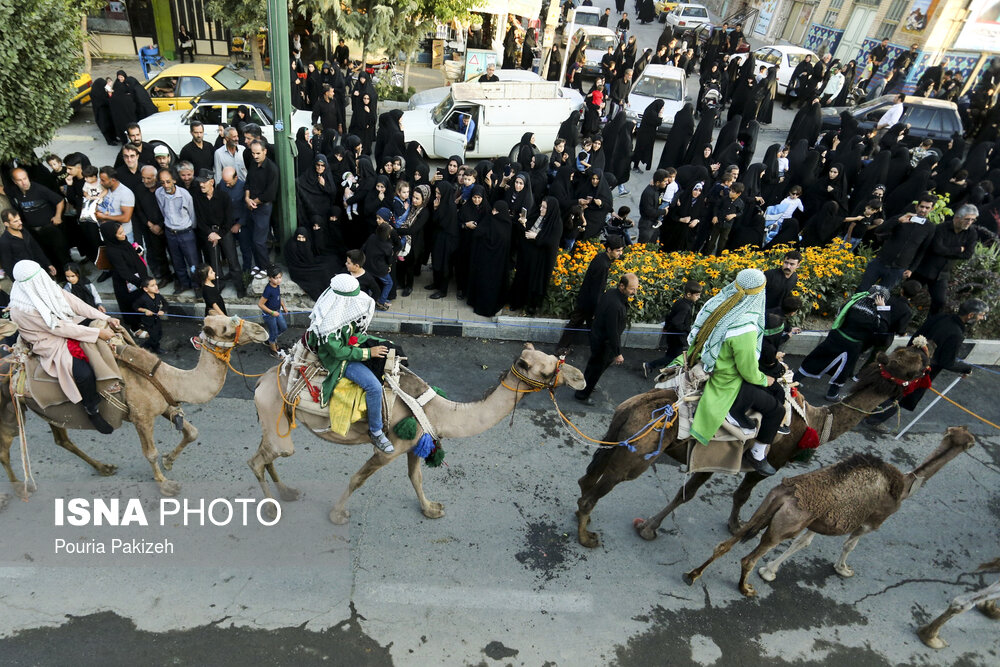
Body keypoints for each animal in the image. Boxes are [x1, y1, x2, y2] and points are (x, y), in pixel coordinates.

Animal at [0, 316, 270, 498]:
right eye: (226, 330)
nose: (262, 330)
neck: (166, 376)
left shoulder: (163, 403)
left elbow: (191, 432)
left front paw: (169, 460)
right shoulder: (141, 416)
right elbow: (150, 453)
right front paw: (165, 483)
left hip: (49, 411)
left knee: (62, 439)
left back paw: (104, 467)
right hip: (9, 408)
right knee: (5, 450)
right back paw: (19, 489)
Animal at [249, 344, 584, 520]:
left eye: (555, 359)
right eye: (546, 370)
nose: (579, 377)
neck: (438, 409)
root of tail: (262, 379)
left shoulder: (414, 442)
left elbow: (416, 477)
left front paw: (431, 509)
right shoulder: (389, 449)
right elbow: (357, 478)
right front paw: (337, 515)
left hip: (273, 416)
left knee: (265, 454)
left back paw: (287, 494)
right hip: (274, 411)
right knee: (262, 459)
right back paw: (270, 510)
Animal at [576, 344, 932, 548]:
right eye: (916, 369)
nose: (928, 351)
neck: (815, 422)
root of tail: (632, 407)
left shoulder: (715, 458)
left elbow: (686, 493)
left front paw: (650, 527)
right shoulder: (767, 462)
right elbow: (742, 493)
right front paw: (738, 526)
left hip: (616, 438)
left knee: (586, 479)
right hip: (635, 457)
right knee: (596, 491)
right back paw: (586, 536)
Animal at [684, 428, 972, 600]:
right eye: (969, 443)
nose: (971, 441)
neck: (904, 486)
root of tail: (786, 493)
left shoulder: (820, 521)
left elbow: (804, 543)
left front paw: (770, 571)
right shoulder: (870, 523)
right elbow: (849, 545)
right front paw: (843, 569)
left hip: (766, 509)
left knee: (726, 544)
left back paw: (692, 575)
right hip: (784, 526)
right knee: (748, 558)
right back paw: (745, 588)